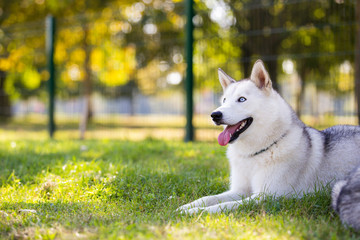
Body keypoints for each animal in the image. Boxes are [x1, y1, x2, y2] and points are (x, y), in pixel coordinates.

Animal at [179, 59, 360, 214]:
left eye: (242, 99)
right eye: (224, 100)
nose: (215, 115)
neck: (254, 153)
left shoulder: (266, 196)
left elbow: (224, 205)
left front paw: (196, 212)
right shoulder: (239, 190)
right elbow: (209, 198)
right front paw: (187, 206)